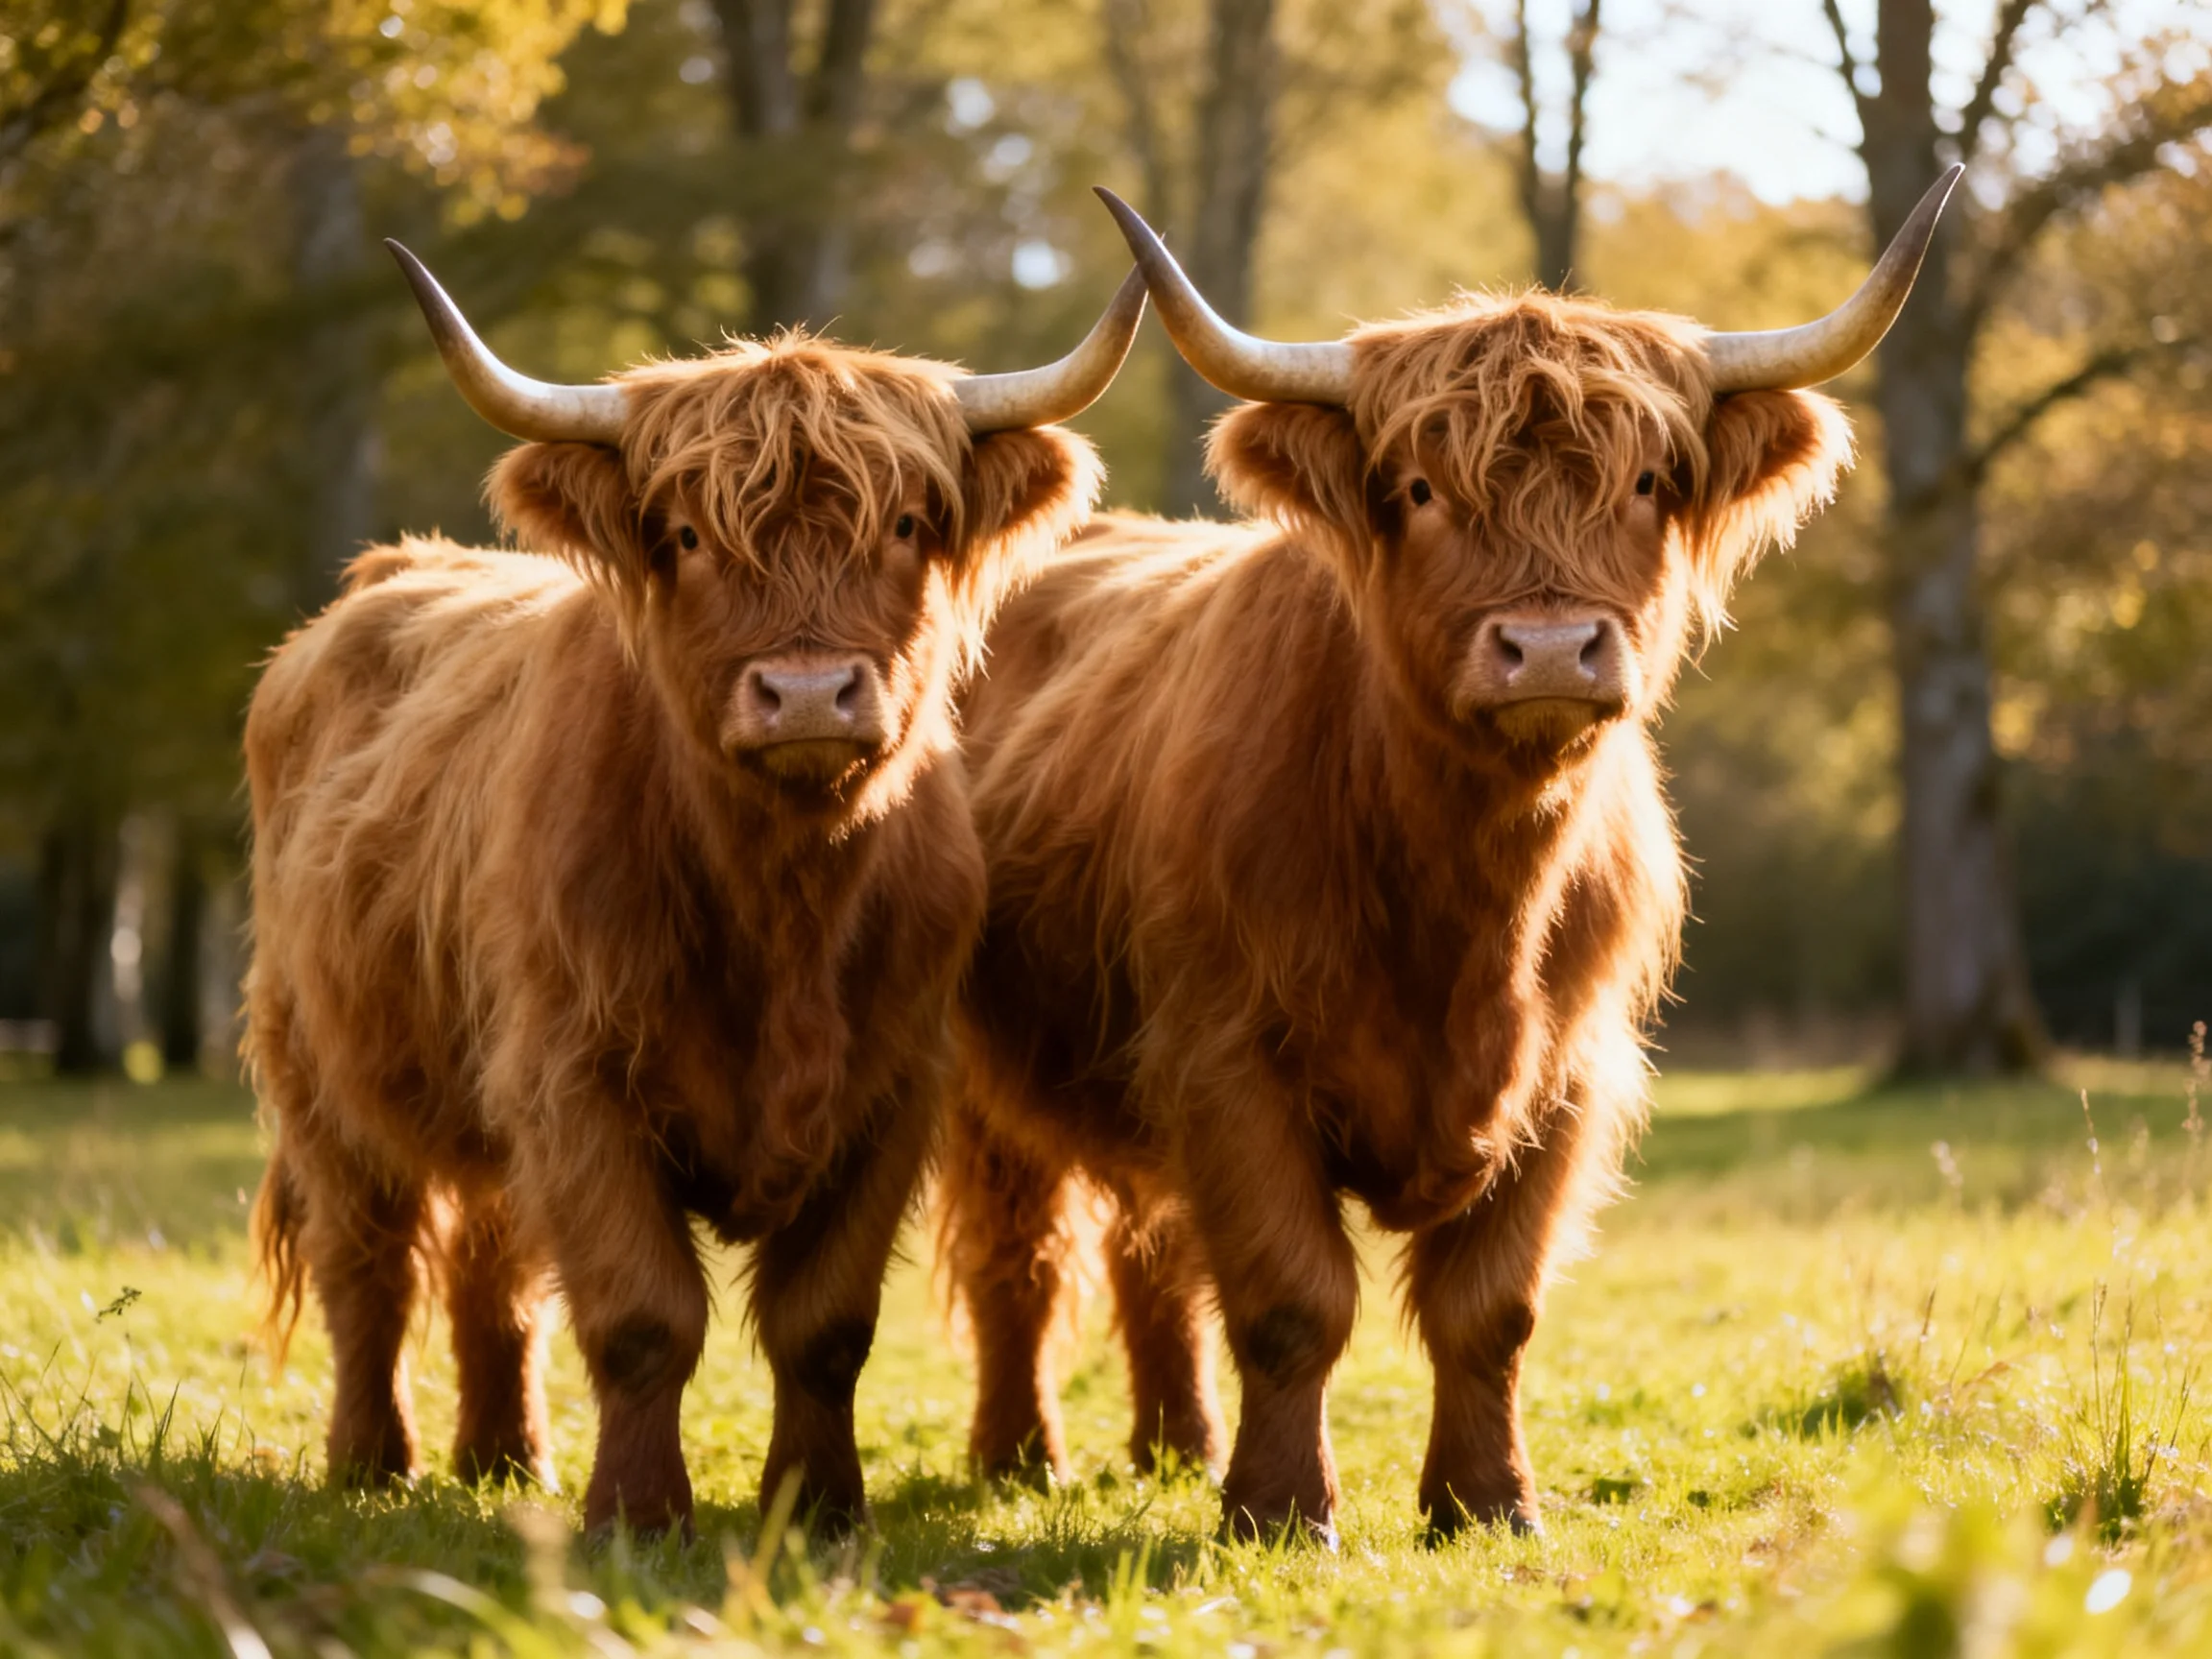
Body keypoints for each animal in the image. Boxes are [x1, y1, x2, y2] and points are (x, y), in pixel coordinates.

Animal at [245, 244, 1143, 1537]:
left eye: (906, 523)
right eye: (682, 535)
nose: (810, 693)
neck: (783, 910)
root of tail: (386, 574)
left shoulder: (889, 1093)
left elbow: (826, 1328)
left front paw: (819, 1512)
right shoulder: (573, 1079)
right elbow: (640, 1318)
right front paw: (637, 1514)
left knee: (490, 1270)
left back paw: (505, 1459)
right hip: (321, 1071)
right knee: (370, 1259)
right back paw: (375, 1461)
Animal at [939, 170, 1961, 1544]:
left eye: (1648, 480)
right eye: (1421, 490)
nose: (1550, 649)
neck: (1465, 902)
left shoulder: (1569, 1073)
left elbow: (1494, 1309)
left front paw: (1485, 1504)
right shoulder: (1227, 1059)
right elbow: (1290, 1296)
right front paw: (1279, 1512)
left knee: (1149, 1251)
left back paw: (1172, 1445)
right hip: (975, 1073)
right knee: (1023, 1255)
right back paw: (1021, 1458)